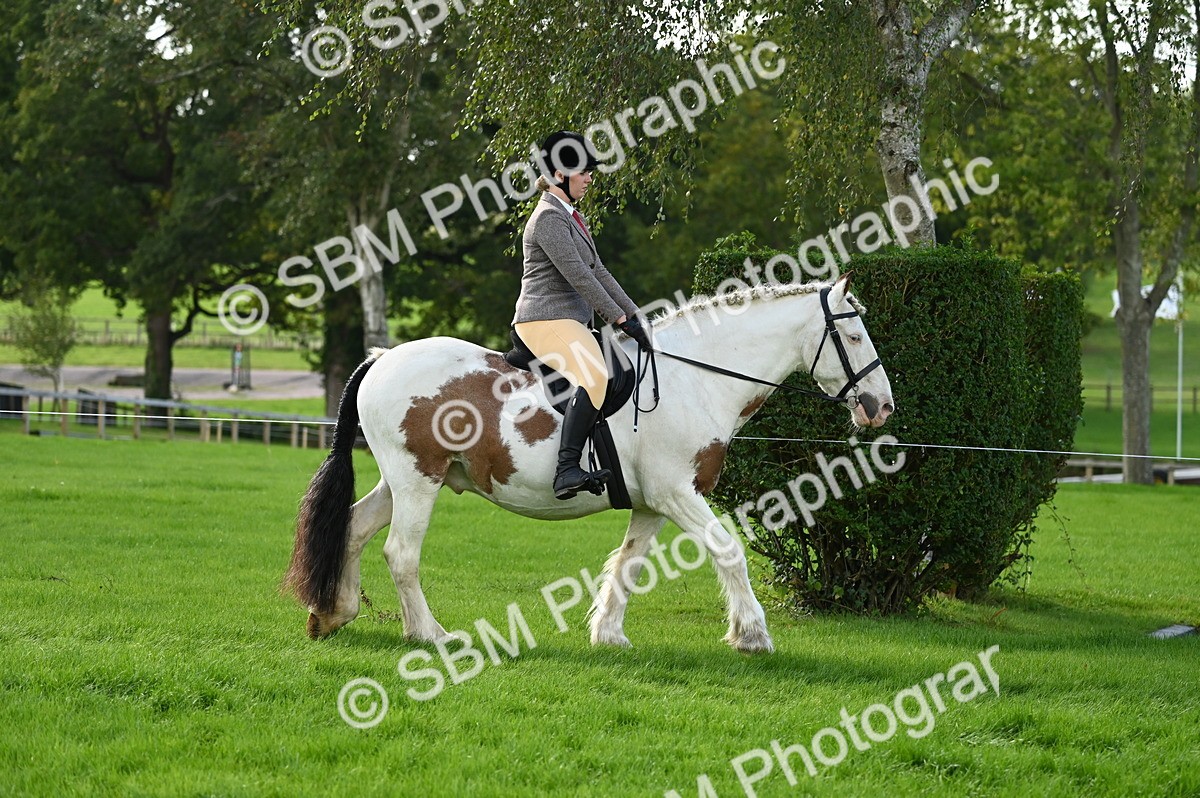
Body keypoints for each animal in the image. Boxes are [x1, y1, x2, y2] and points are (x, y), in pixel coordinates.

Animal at [284, 274, 894, 653]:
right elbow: (729, 551)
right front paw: (752, 635)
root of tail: (383, 359)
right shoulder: (678, 493)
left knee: (354, 528)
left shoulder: (654, 503)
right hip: (418, 480)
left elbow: (628, 564)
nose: (882, 407)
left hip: (403, 480)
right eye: (854, 334)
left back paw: (334, 613)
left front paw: (608, 635)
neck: (695, 378)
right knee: (401, 553)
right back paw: (430, 635)